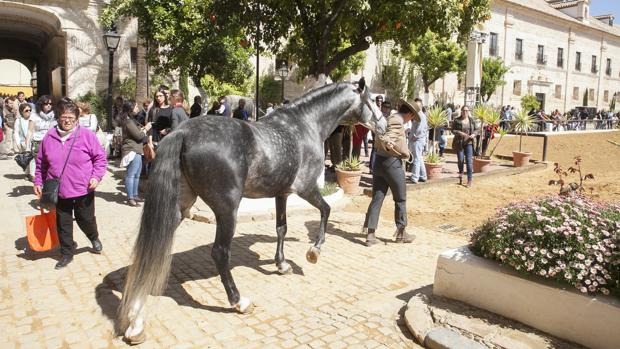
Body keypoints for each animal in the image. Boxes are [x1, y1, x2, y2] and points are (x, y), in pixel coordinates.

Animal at [118, 79, 386, 342]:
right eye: (373, 100)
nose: (383, 125)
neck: (305, 125)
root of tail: (183, 132)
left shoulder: (281, 194)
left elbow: (281, 228)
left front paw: (282, 264)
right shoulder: (306, 188)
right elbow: (326, 210)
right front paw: (314, 251)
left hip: (179, 206)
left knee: (152, 248)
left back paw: (135, 321)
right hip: (227, 210)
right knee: (220, 253)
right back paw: (239, 301)